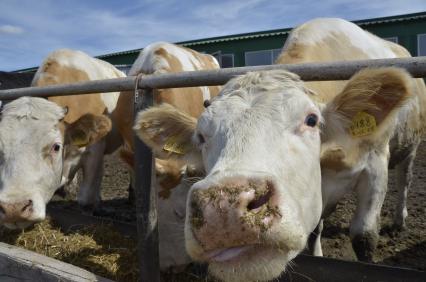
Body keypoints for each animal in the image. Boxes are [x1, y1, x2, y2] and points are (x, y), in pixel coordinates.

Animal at [134, 18, 422, 280]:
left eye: (311, 120)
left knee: (405, 178)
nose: (224, 210)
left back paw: (400, 220)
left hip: (411, 146)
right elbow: (315, 229)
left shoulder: (376, 165)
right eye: (201, 136)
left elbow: (364, 237)